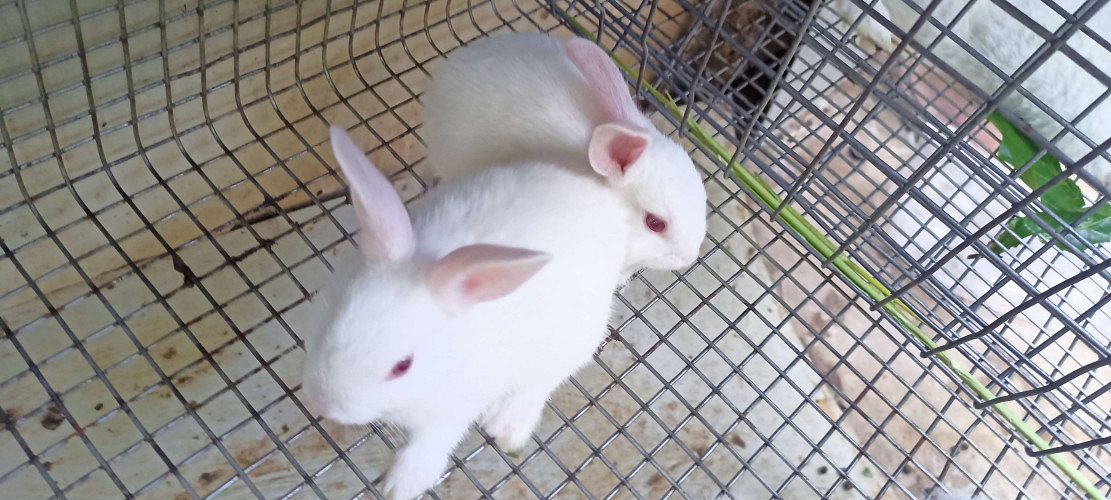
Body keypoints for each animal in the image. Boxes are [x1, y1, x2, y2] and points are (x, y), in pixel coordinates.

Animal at [300, 126, 631, 499]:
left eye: (402, 366)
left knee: (544, 381)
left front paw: (401, 485)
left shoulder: (457, 405)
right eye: (330, 317)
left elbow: (432, 441)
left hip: (574, 337)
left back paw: (506, 425)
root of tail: (603, 200)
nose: (322, 404)